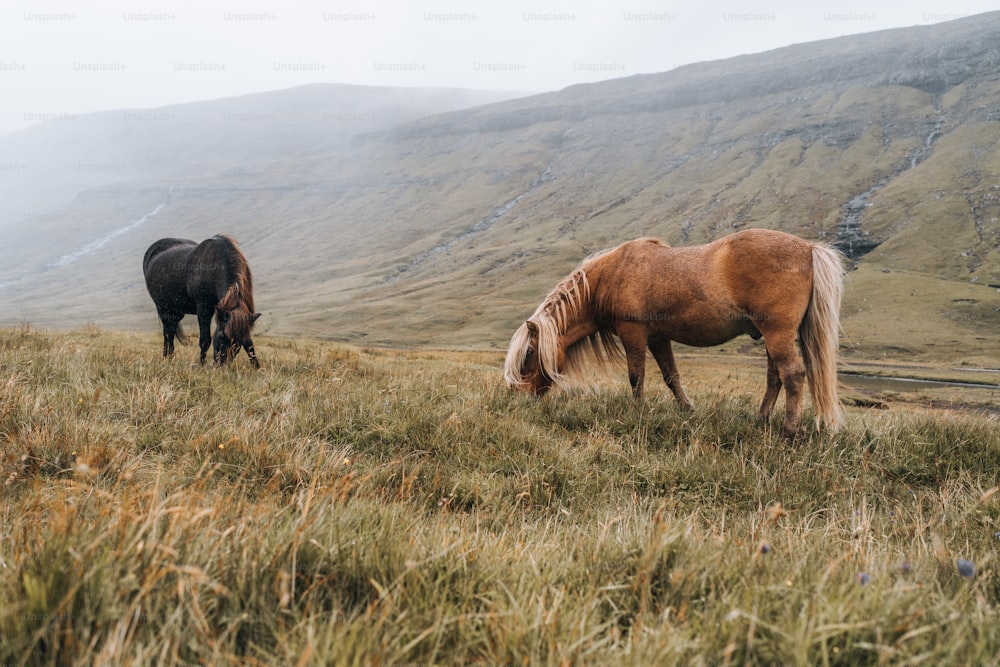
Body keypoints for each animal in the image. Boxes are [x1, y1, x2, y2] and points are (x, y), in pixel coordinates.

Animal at [146, 236, 264, 370]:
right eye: (222, 336)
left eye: (239, 341)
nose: (222, 365)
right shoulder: (204, 308)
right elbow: (205, 340)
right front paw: (201, 365)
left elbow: (249, 344)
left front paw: (256, 366)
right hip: (162, 308)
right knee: (169, 332)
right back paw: (168, 358)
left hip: (177, 311)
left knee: (169, 330)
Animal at [500, 227, 844, 440]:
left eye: (529, 353)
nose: (519, 399)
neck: (614, 274)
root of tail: (808, 249)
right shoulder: (657, 337)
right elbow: (671, 376)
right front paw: (687, 410)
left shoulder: (633, 331)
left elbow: (636, 375)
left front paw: (637, 411)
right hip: (772, 336)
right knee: (775, 377)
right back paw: (761, 420)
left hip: (777, 333)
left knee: (792, 374)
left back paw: (789, 432)